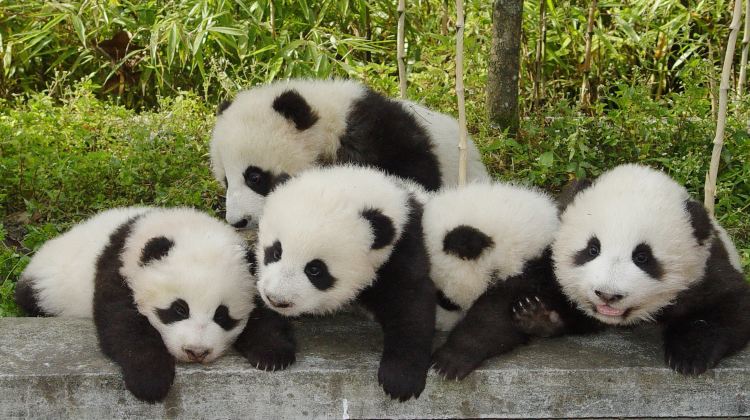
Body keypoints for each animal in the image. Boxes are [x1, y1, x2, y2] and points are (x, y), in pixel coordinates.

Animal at [15, 207, 295, 402]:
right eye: (179, 309)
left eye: (222, 315)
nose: (196, 352)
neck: (183, 226)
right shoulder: (118, 269)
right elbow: (123, 325)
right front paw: (150, 380)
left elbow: (265, 312)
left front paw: (272, 355)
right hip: (49, 286)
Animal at [254, 165, 435, 401]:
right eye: (276, 252)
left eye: (315, 270)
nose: (277, 300)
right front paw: (270, 353)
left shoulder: (402, 249)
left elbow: (409, 302)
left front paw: (400, 379)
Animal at [513, 164, 750, 375]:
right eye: (592, 249)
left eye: (642, 257)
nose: (607, 295)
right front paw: (538, 315)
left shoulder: (704, 270)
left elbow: (730, 306)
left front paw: (690, 356)